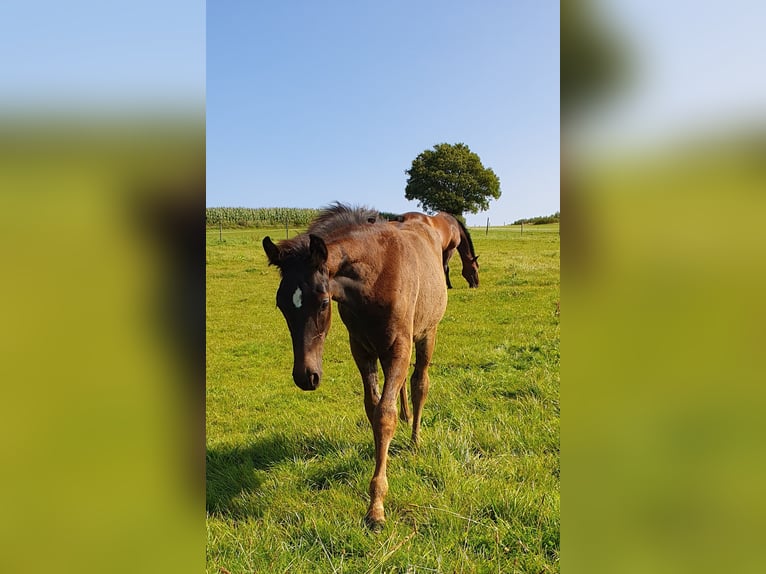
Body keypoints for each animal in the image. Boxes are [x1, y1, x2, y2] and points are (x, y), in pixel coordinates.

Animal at [262, 204, 450, 532]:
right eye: (281, 304)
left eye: (323, 302)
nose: (305, 377)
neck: (376, 276)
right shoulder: (361, 350)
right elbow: (372, 407)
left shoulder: (399, 348)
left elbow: (384, 416)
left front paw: (376, 507)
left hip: (427, 333)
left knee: (419, 382)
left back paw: (415, 438)